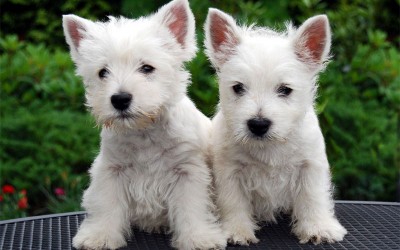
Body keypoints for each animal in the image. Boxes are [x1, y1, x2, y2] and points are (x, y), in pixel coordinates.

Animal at [62, 0, 227, 249]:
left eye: (147, 68)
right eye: (103, 72)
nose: (120, 99)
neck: (145, 131)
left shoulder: (188, 171)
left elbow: (192, 207)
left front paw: (199, 238)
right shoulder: (111, 170)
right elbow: (106, 205)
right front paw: (99, 236)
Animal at [205, 8, 348, 246]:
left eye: (285, 90)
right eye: (238, 88)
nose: (258, 124)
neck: (270, 146)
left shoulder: (310, 166)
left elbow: (313, 197)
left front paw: (319, 228)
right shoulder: (229, 170)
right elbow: (233, 201)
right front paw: (236, 231)